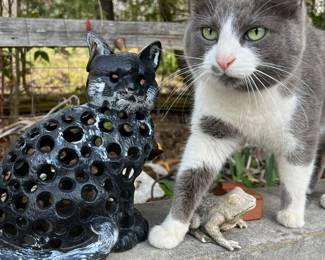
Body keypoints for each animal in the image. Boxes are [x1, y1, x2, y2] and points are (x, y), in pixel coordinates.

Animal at [149, 0, 324, 249]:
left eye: (256, 32)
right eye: (209, 32)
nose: (224, 59)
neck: (249, 96)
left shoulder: (302, 122)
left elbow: (297, 169)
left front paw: (291, 214)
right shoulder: (212, 127)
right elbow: (193, 173)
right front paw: (171, 230)